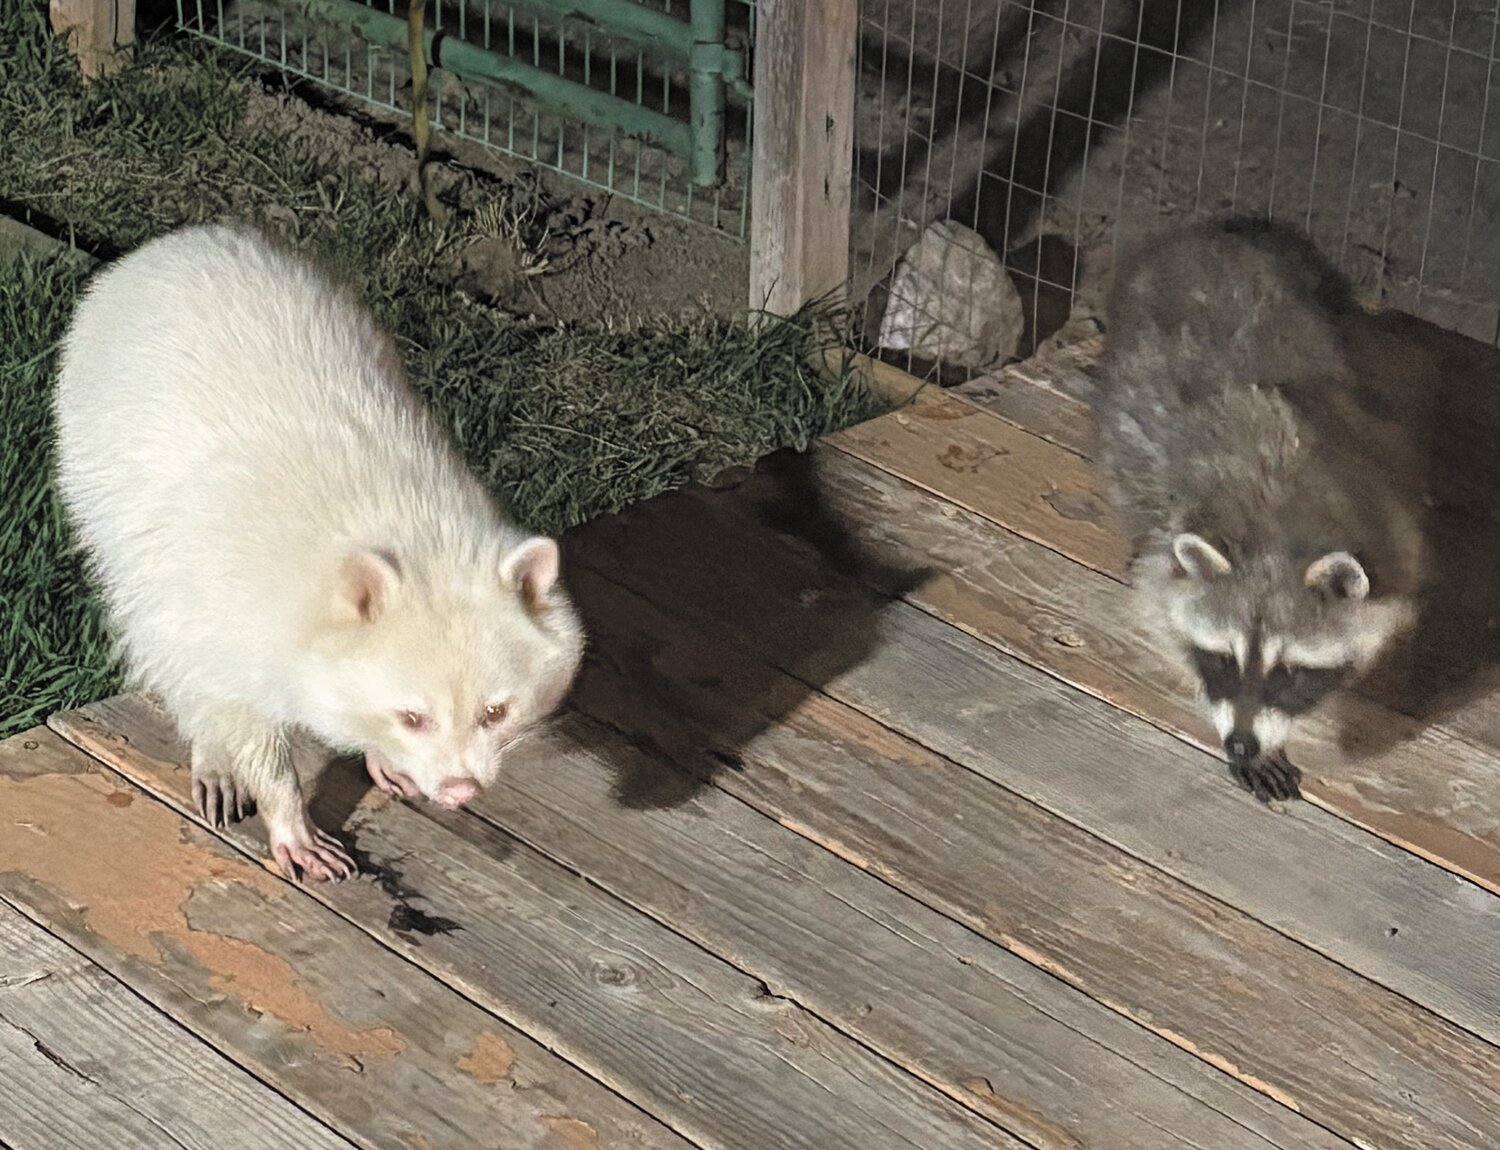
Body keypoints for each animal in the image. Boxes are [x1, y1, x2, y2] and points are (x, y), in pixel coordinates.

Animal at [1094, 215, 1428, 801]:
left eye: (1289, 672)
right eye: (1223, 660)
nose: (1241, 745)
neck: (1274, 530)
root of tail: (1212, 233)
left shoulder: (1392, 517)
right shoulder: (1170, 538)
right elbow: (1160, 603)